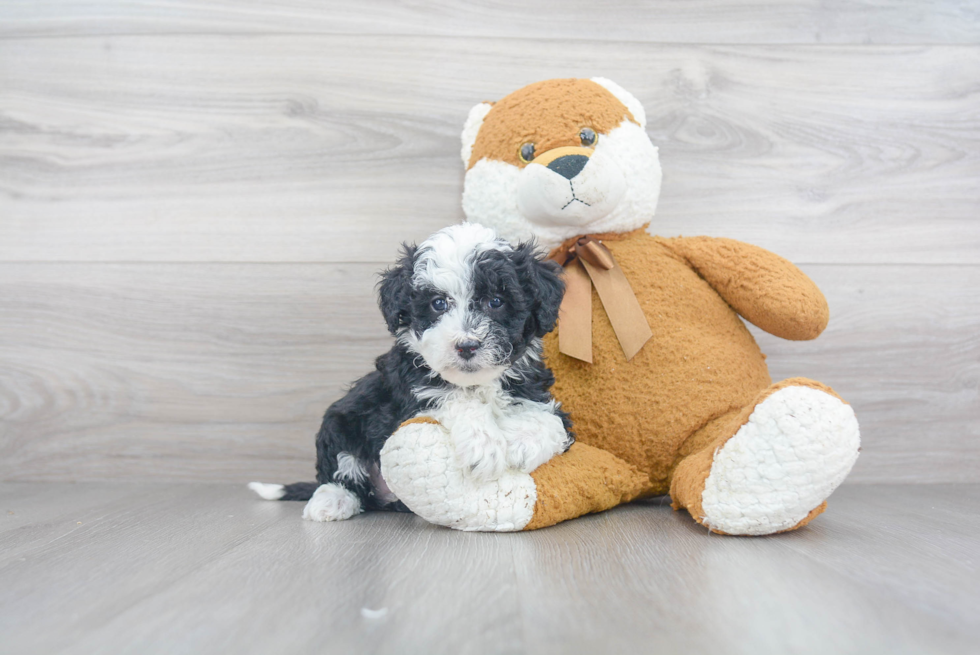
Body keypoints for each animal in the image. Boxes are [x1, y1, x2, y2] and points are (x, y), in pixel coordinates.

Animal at [249, 224, 576, 524]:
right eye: (438, 303)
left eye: (496, 301)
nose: (466, 345)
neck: (476, 382)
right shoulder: (409, 397)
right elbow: (455, 398)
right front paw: (483, 446)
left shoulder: (535, 391)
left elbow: (552, 421)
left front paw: (520, 442)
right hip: (342, 418)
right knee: (340, 468)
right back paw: (331, 500)